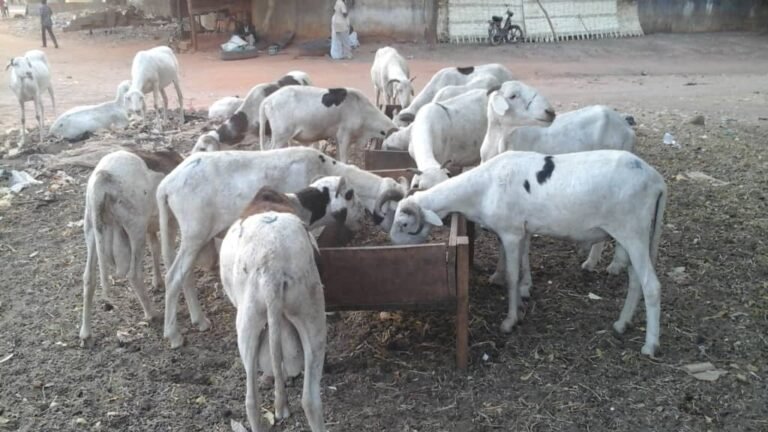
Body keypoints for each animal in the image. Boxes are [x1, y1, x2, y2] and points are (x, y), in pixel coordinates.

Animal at [79, 149, 184, 346]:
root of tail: (102, 176)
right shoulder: (169, 223)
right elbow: (167, 253)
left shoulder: (152, 228)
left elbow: (156, 248)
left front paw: (158, 282)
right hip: (135, 230)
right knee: (134, 275)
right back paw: (152, 314)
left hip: (91, 230)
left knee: (89, 278)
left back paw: (85, 334)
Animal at [156, 147, 406, 348]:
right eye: (396, 210)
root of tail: (166, 185)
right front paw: (328, 308)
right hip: (195, 233)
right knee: (173, 277)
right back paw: (174, 335)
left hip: (180, 230)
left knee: (185, 275)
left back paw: (199, 320)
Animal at [385, 150, 667, 356]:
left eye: (404, 224)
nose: (393, 247)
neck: (482, 189)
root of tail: (657, 181)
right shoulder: (520, 231)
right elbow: (521, 265)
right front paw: (522, 295)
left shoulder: (510, 233)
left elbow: (512, 277)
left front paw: (510, 321)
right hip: (635, 235)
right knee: (636, 281)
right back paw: (622, 324)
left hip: (633, 231)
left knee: (651, 286)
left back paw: (650, 345)